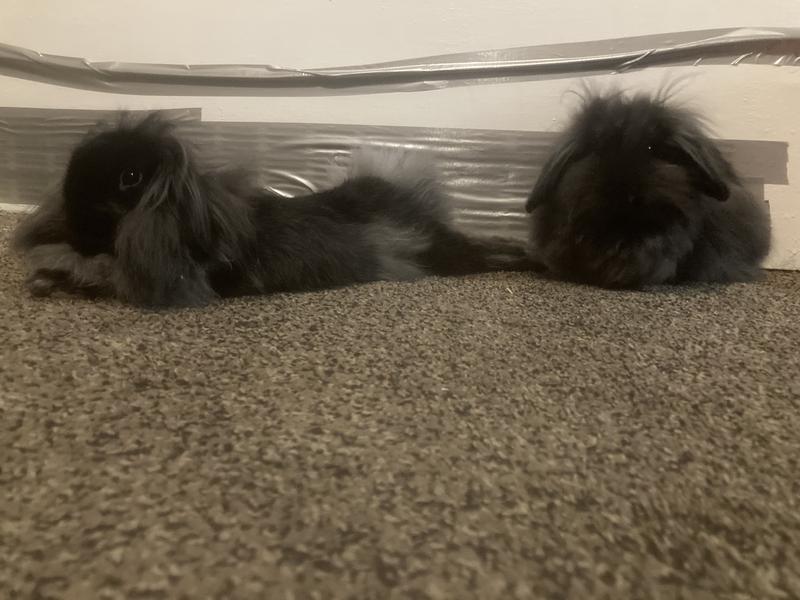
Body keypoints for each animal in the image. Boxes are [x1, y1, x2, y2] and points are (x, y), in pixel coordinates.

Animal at [12, 113, 532, 307]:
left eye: (130, 177)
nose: (74, 218)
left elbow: (100, 274)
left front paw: (53, 277)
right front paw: (43, 278)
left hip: (440, 254)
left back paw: (526, 256)